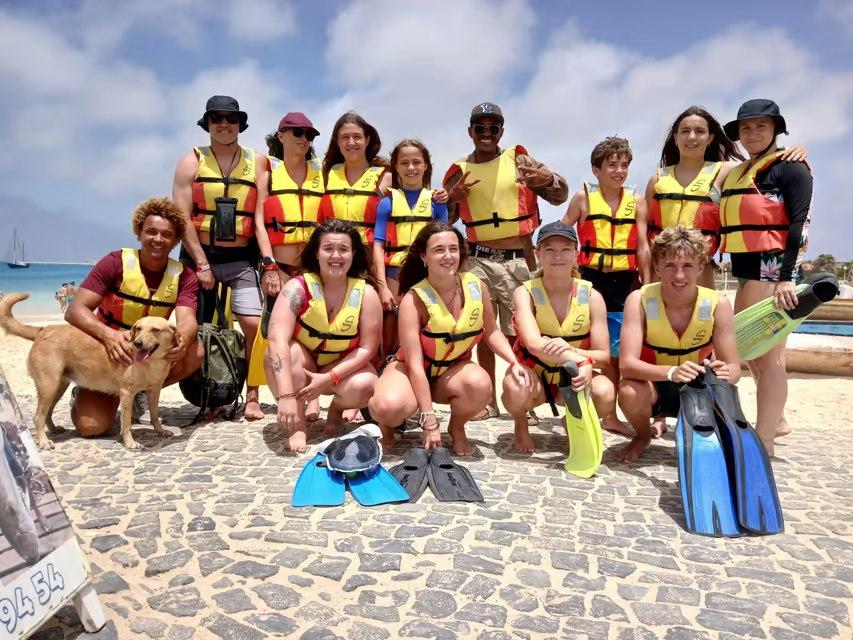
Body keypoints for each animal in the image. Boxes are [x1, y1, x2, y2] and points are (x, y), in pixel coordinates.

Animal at [0, 292, 176, 448]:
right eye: (138, 329)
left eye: (155, 330)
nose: (138, 343)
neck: (152, 362)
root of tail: (43, 329)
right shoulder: (127, 393)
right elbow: (126, 424)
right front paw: (130, 442)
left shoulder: (154, 391)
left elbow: (154, 415)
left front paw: (160, 431)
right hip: (48, 386)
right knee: (38, 417)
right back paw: (44, 442)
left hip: (57, 387)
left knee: (47, 413)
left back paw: (54, 429)